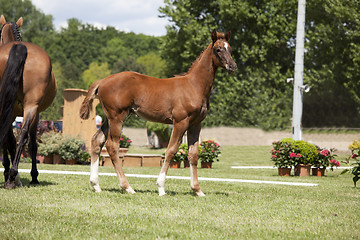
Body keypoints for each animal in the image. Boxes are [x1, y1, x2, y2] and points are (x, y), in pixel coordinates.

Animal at [0, 15, 57, 188]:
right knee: (22, 134)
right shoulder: (34, 113)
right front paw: (32, 175)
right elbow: (31, 144)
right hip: (30, 106)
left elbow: (10, 139)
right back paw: (13, 175)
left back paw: (11, 176)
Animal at [81, 30, 238, 196]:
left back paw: (96, 185)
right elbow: (171, 150)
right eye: (218, 49)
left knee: (97, 141)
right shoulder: (180, 122)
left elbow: (193, 154)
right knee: (112, 146)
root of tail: (102, 81)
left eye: (230, 48)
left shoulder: (196, 124)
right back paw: (127, 187)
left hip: (109, 118)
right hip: (117, 117)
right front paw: (161, 187)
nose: (232, 66)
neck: (194, 86)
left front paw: (197, 190)